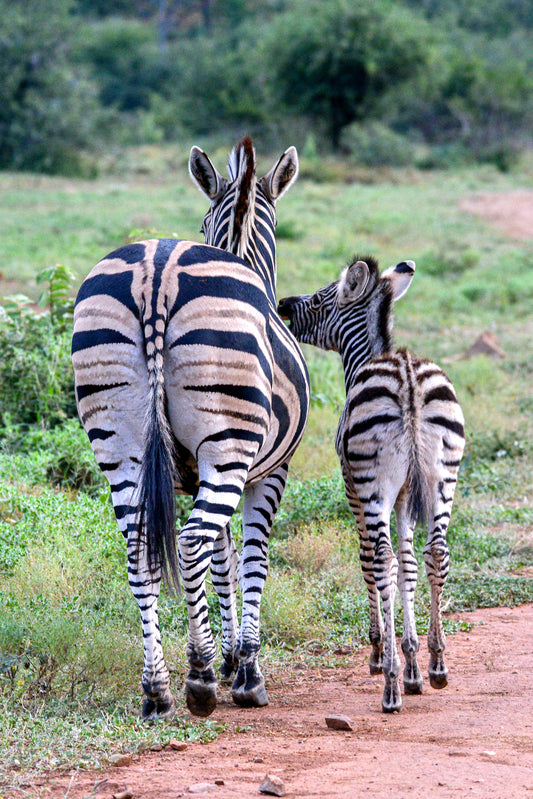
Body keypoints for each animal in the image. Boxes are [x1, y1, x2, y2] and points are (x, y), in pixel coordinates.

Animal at [72, 137, 310, 719]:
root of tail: (155, 271)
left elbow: (224, 561)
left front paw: (229, 657)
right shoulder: (265, 472)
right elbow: (250, 559)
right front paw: (244, 669)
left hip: (119, 441)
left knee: (141, 549)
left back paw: (156, 689)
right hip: (226, 443)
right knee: (189, 541)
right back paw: (197, 678)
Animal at [278, 256, 465, 713]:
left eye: (321, 298)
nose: (283, 304)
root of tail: (407, 376)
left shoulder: (353, 488)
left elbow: (373, 562)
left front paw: (383, 654)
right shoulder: (405, 496)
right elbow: (409, 565)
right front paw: (414, 663)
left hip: (372, 484)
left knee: (379, 559)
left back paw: (390, 687)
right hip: (442, 479)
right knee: (436, 553)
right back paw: (437, 666)